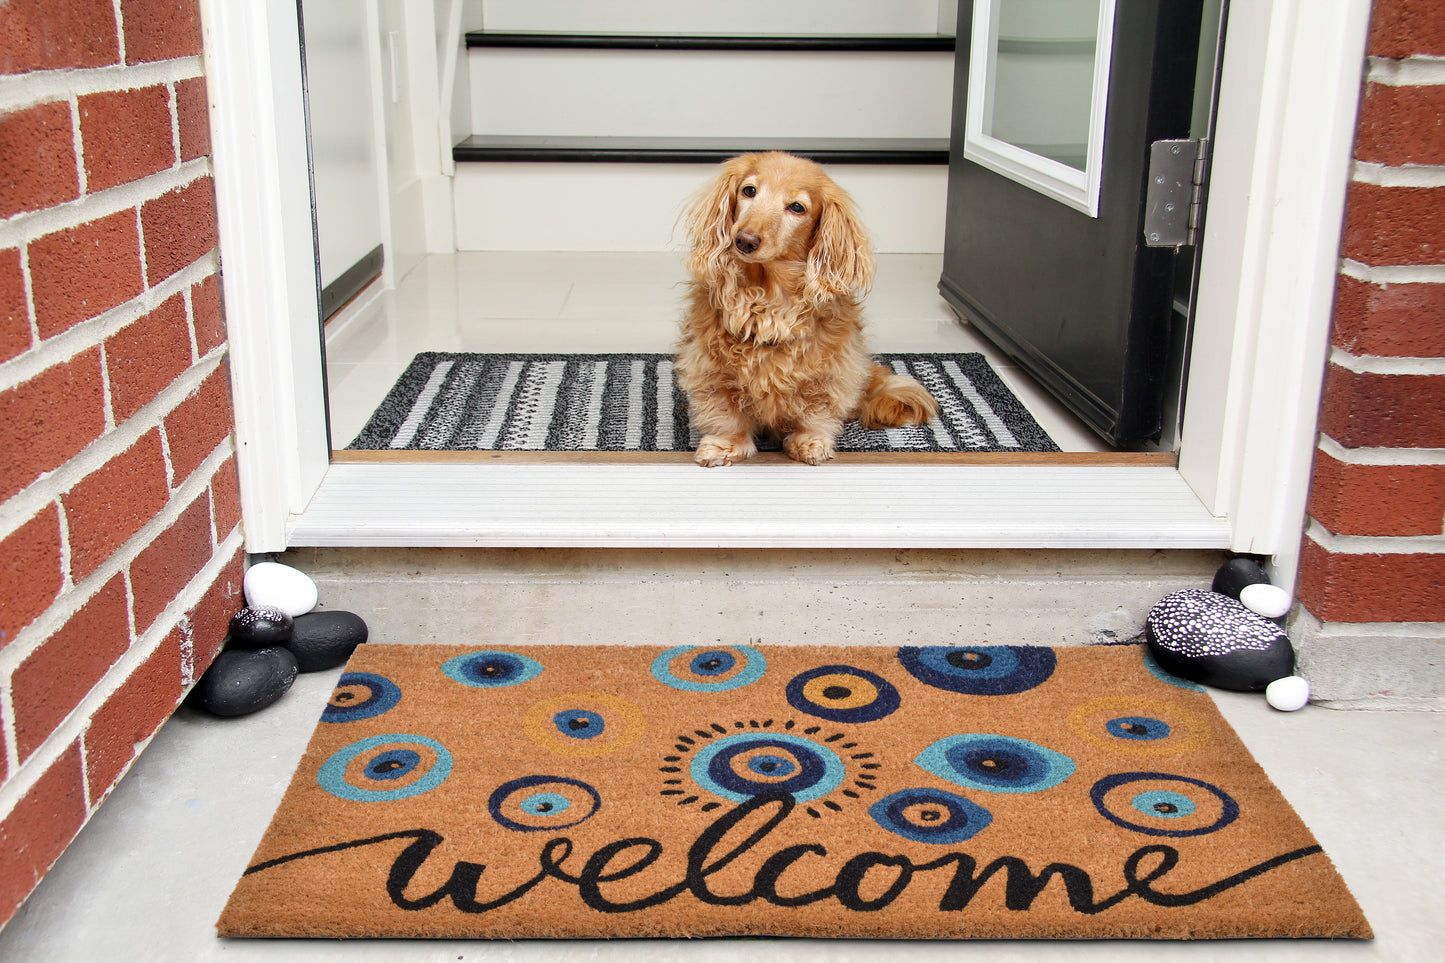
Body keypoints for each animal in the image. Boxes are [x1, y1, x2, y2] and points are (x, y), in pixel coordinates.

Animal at [673, 151, 936, 465]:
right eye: (749, 190)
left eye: (797, 207)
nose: (745, 240)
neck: (767, 296)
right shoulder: (711, 368)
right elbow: (726, 413)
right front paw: (726, 444)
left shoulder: (830, 370)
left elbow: (816, 410)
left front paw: (810, 441)